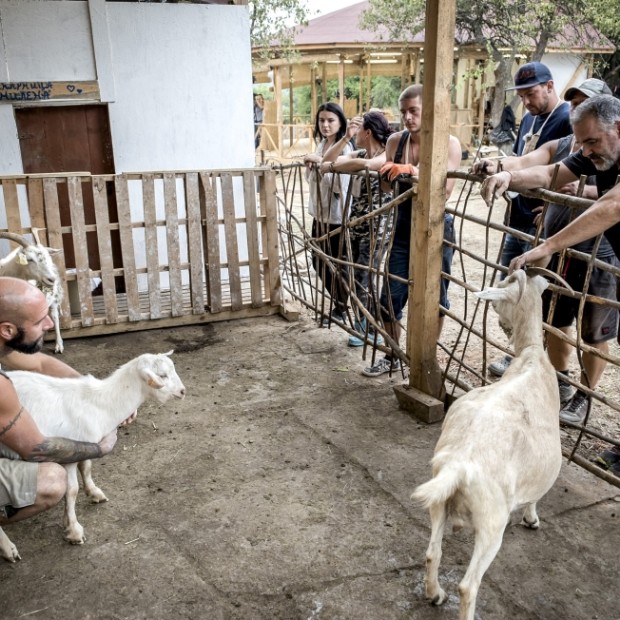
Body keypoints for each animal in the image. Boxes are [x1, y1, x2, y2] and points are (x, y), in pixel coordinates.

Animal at [0, 348, 185, 560]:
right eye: (162, 375)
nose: (183, 391)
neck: (100, 404)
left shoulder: (84, 444)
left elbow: (86, 466)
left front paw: (94, 493)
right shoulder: (65, 454)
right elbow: (71, 490)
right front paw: (73, 531)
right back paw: (7, 547)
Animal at [412, 272, 560, 620]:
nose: (501, 323)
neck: (532, 353)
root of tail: (458, 466)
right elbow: (536, 495)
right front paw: (532, 519)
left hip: (439, 501)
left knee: (432, 553)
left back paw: (435, 595)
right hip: (492, 521)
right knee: (468, 585)